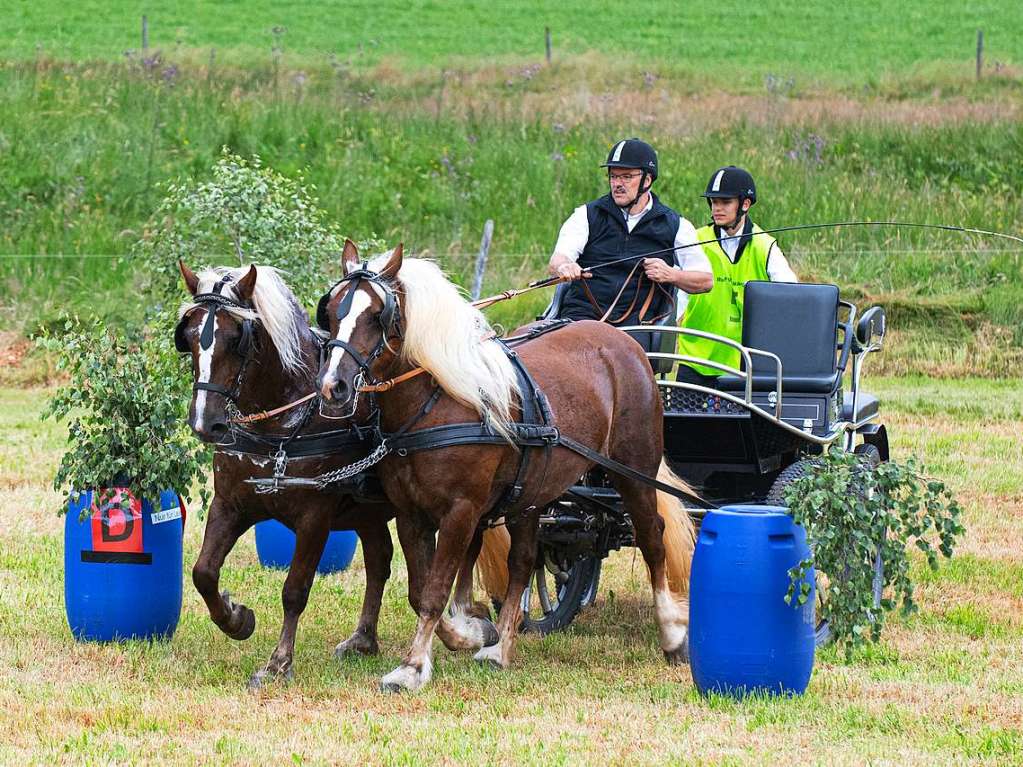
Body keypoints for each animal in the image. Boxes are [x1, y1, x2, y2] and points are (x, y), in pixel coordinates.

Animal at [175, 263, 495, 691]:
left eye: (236, 337)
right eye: (191, 336)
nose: (205, 422)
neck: (282, 419)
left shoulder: (315, 516)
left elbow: (295, 590)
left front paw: (278, 662)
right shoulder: (230, 504)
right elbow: (203, 573)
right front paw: (235, 618)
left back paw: (468, 625)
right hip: (370, 511)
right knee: (380, 561)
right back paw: (365, 638)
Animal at [317, 241, 695, 695]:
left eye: (377, 315)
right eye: (330, 311)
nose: (333, 386)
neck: (438, 401)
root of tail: (621, 339)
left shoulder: (461, 512)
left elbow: (435, 590)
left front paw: (413, 666)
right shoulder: (411, 515)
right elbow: (419, 590)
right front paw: (470, 634)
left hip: (633, 471)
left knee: (652, 538)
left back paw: (671, 635)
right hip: (531, 495)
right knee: (524, 561)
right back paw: (503, 648)